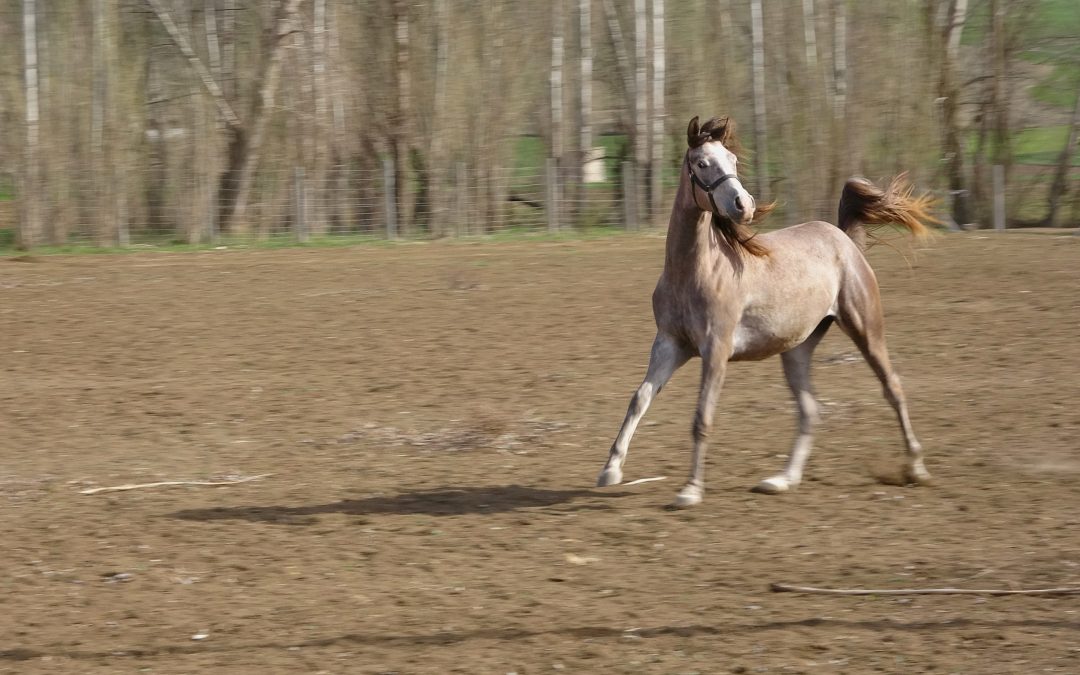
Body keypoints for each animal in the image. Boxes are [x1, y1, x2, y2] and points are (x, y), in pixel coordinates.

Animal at [600, 117, 937, 505]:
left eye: (732, 159)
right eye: (702, 163)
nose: (743, 204)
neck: (695, 272)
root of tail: (843, 239)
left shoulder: (716, 350)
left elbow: (702, 417)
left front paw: (690, 490)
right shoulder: (671, 344)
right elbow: (639, 399)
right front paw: (610, 470)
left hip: (865, 327)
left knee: (892, 387)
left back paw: (917, 469)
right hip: (797, 349)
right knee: (809, 410)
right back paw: (782, 480)